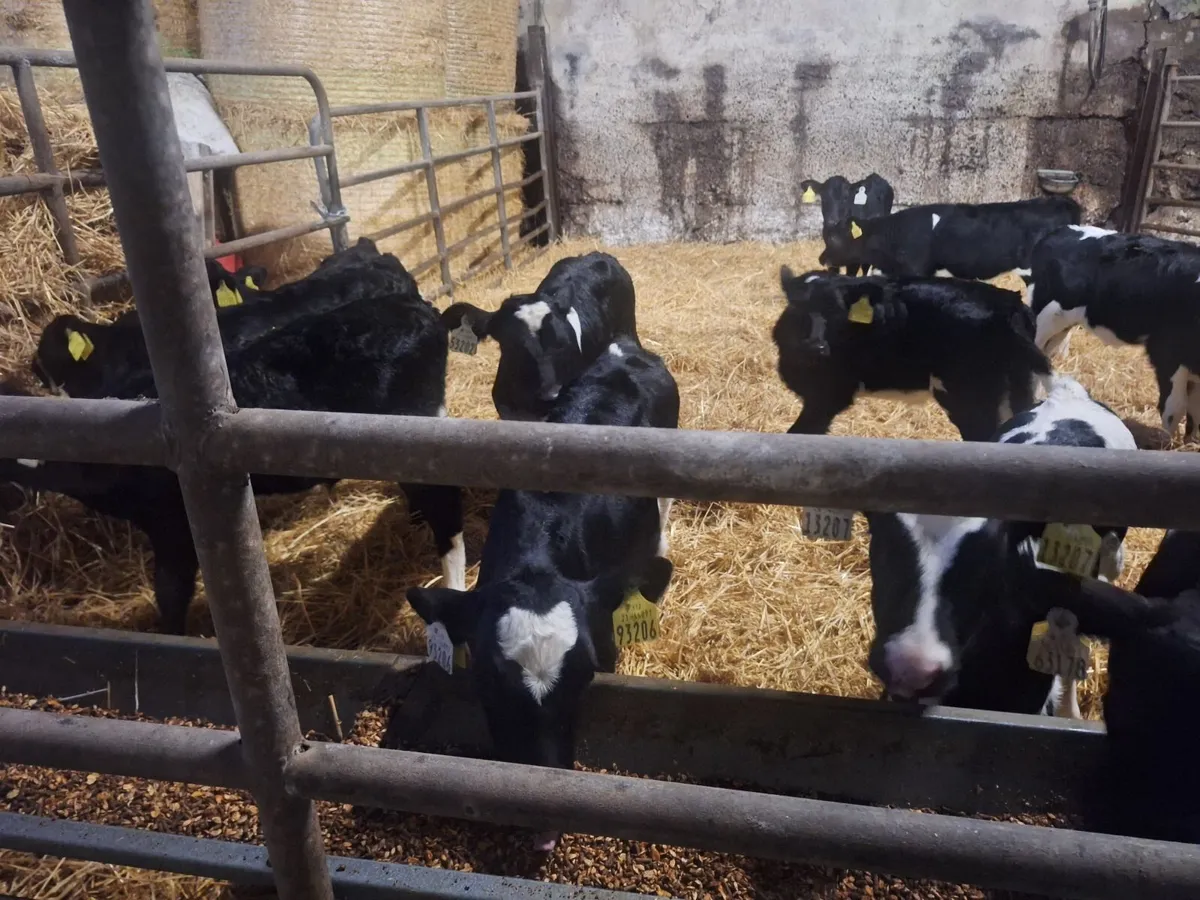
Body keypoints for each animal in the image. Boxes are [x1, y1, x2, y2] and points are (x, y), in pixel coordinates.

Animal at [774, 267, 1050, 441]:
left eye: (837, 312)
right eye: (797, 309)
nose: (815, 347)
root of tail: (1008, 306)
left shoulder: (829, 394)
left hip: (970, 397)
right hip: (1019, 386)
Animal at [1026, 225, 1200, 439]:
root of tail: (1058, 231)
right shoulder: (1167, 353)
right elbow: (1175, 408)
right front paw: (1167, 442)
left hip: (1059, 327)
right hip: (1042, 319)